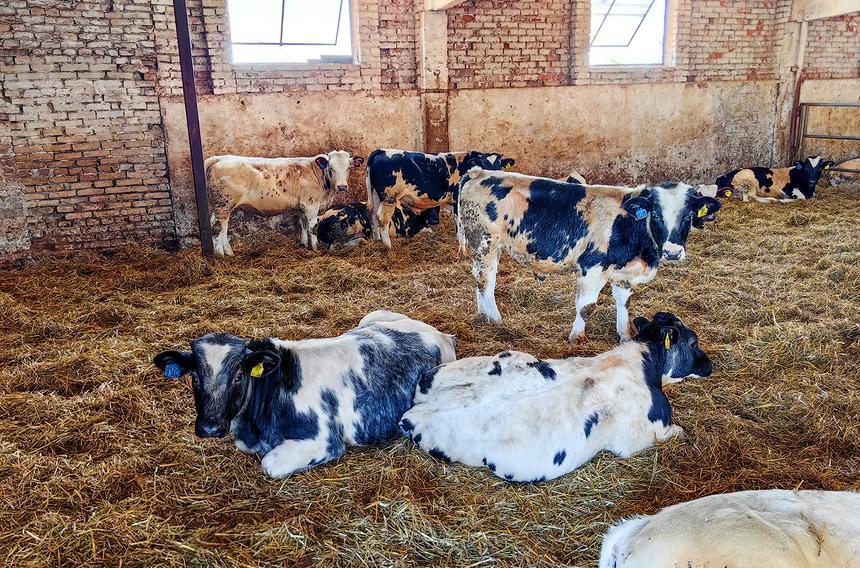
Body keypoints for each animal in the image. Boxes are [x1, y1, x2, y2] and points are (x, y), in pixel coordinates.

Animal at [153, 310, 456, 478]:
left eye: (239, 375)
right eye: (194, 376)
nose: (211, 427)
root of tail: (437, 332)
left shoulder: (324, 441)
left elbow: (269, 465)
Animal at [204, 151, 364, 254]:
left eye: (348, 168)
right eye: (331, 168)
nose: (342, 186)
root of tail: (217, 158)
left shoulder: (301, 205)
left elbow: (302, 223)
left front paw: (303, 244)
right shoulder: (311, 204)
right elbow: (312, 226)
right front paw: (315, 248)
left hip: (219, 206)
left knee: (218, 226)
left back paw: (227, 252)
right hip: (224, 205)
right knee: (218, 228)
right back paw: (221, 254)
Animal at [366, 149, 516, 248]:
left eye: (500, 165)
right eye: (484, 165)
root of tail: (382, 151)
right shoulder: (457, 198)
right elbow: (459, 220)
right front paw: (462, 242)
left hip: (376, 195)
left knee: (372, 215)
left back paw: (377, 241)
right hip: (389, 198)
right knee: (382, 219)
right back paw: (388, 246)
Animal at [400, 312, 711, 483]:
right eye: (693, 341)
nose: (712, 364)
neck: (642, 362)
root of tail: (418, 410)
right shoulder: (640, 438)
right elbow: (679, 431)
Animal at [456, 168, 723, 343]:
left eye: (688, 216)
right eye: (655, 214)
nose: (673, 252)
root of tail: (478, 172)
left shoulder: (624, 273)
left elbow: (624, 303)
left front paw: (625, 335)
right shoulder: (592, 268)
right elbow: (586, 306)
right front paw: (576, 338)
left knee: (478, 278)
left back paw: (482, 315)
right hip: (486, 243)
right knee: (486, 281)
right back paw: (495, 319)